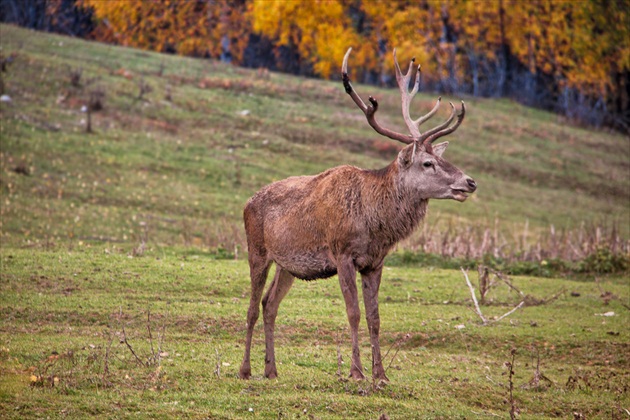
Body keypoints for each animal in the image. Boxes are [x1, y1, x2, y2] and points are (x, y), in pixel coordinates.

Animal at [239, 47, 476, 382]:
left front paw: (381, 374)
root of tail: (247, 203)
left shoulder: (375, 262)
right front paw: (357, 371)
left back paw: (271, 370)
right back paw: (245, 369)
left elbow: (375, 318)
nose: (469, 181)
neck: (376, 226)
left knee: (269, 303)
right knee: (251, 307)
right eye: (427, 163)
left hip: (288, 265)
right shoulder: (342, 254)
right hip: (257, 249)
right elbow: (354, 313)